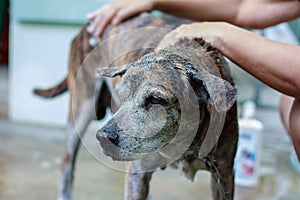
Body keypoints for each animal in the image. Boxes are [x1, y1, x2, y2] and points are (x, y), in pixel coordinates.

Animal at [34, 12, 238, 200]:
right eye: (121, 95)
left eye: (156, 99)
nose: (103, 138)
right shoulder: (137, 173)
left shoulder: (224, 174)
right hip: (81, 108)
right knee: (67, 162)